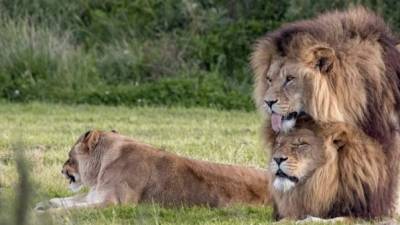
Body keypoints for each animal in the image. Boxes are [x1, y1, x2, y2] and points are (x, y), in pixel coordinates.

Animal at [35, 129, 272, 210]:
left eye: (69, 157)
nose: (61, 169)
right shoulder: (95, 195)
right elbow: (63, 200)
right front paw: (42, 205)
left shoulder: (114, 203)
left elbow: (72, 209)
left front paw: (47, 213)